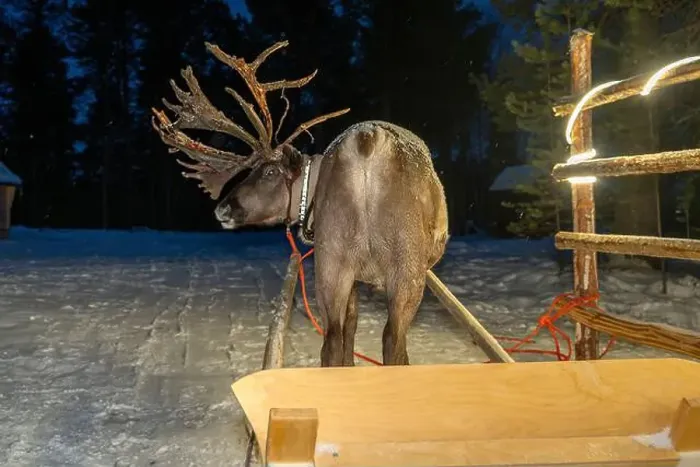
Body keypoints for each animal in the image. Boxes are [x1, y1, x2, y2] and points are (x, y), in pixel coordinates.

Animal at [151, 41, 448, 366]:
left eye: (269, 172)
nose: (222, 208)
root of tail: (366, 144)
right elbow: (354, 322)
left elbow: (349, 324)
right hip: (403, 262)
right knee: (392, 340)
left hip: (333, 257)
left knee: (332, 339)